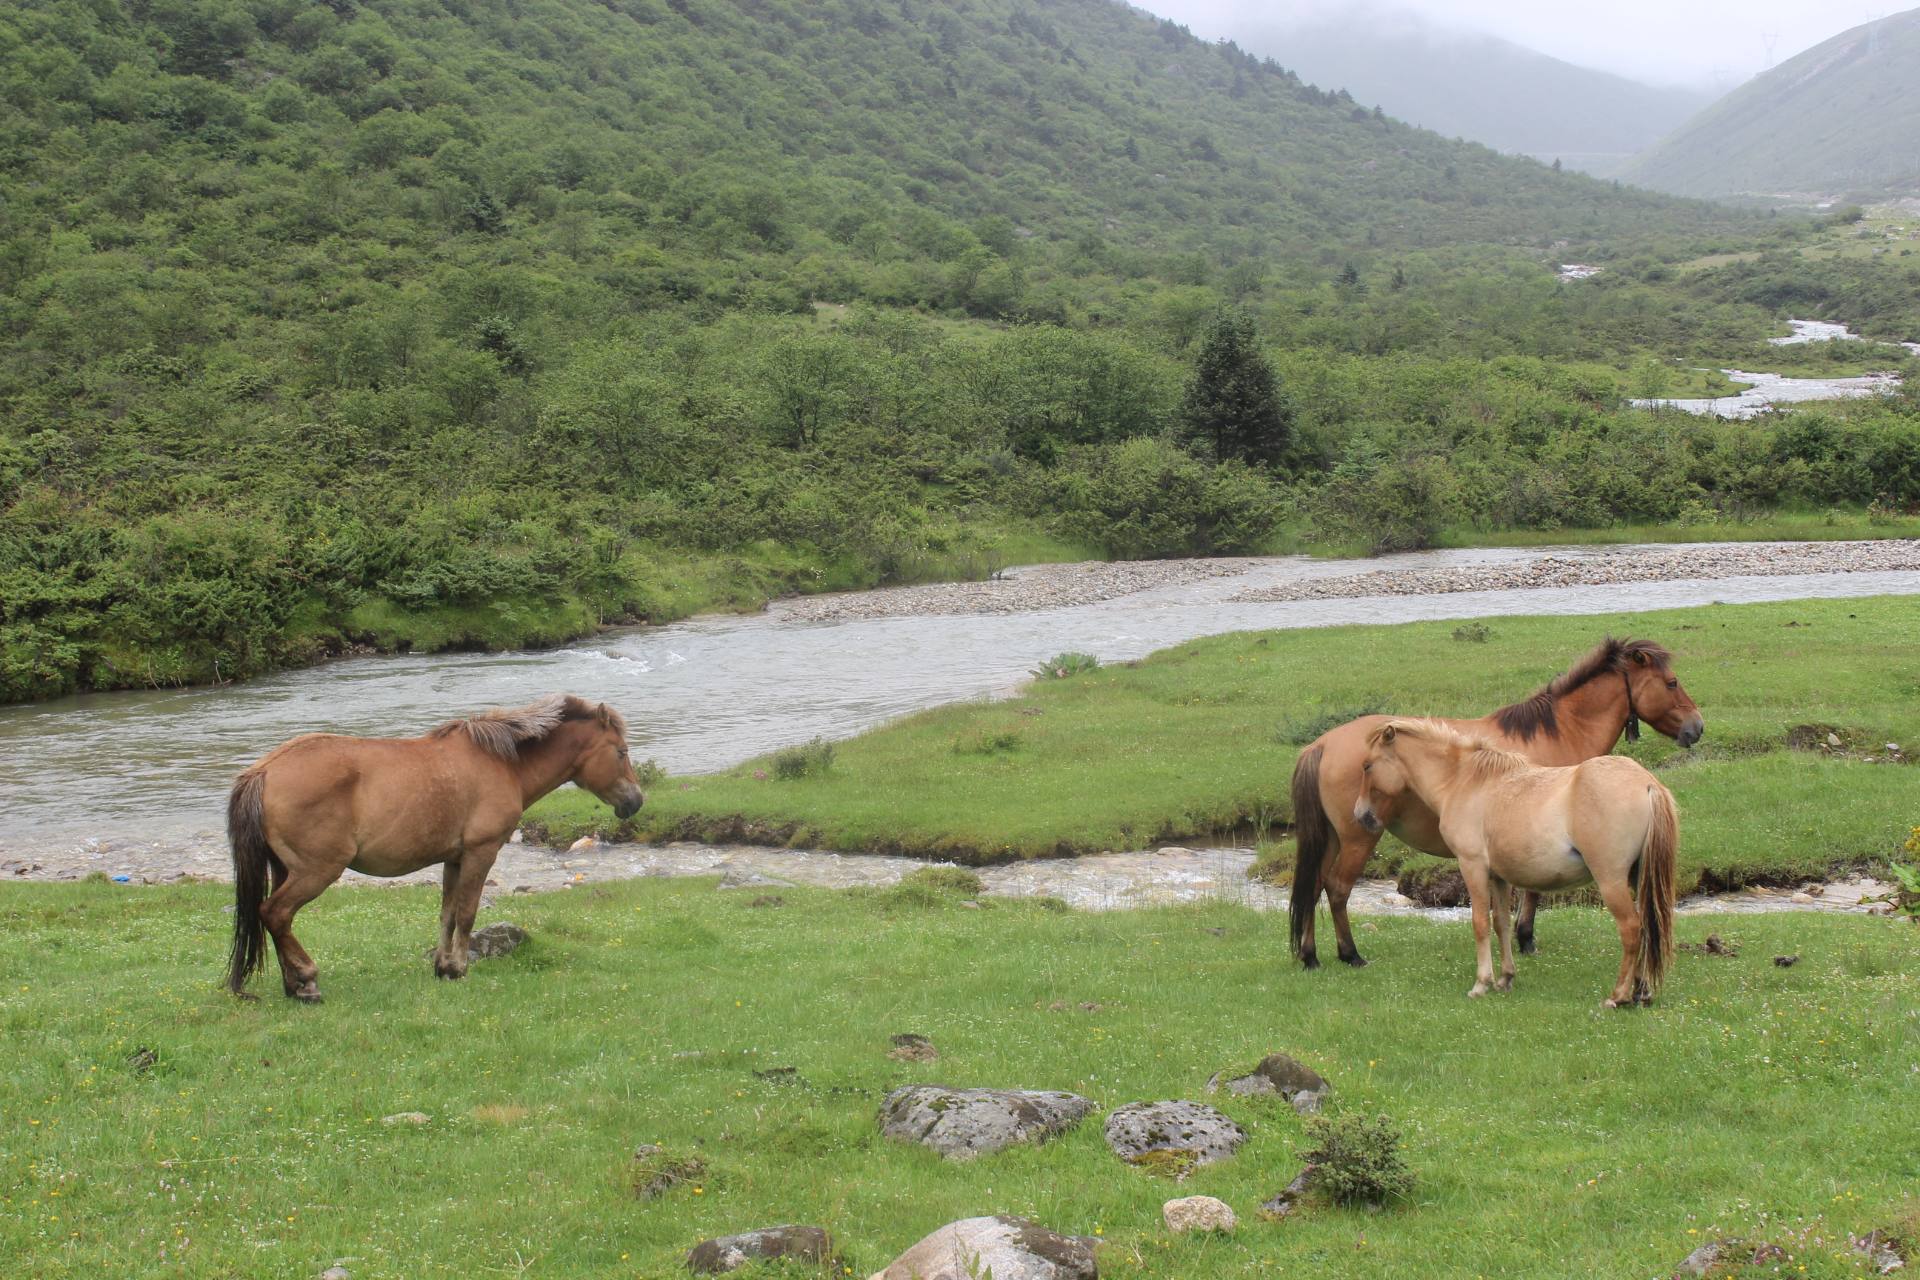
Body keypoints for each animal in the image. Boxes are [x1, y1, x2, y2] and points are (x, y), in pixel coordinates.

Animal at [224, 690, 645, 997]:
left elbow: (447, 913)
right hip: (317, 871)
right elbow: (468, 913)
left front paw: (442, 966)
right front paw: (459, 968)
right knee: (276, 914)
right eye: (621, 752)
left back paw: (294, 983)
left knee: (278, 920)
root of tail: (263, 771)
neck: (502, 764)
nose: (636, 801)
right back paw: (307, 980)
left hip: (285, 869)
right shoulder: (480, 852)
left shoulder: (453, 859)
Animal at [1282, 640, 1704, 971]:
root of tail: (1323, 744)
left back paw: (1311, 956)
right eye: (1672, 683)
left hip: (1334, 838)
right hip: (1358, 838)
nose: (1696, 727)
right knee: (1337, 889)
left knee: (1314, 886)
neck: (1560, 733)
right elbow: (1533, 892)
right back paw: (1350, 954)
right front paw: (1526, 937)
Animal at [1351, 725, 1681, 1005]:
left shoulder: (1472, 867)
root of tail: (1647, 783)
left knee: (1631, 929)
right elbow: (1501, 924)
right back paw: (1641, 992)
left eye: (1367, 766)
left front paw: (1481, 983)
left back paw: (1618, 996)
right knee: (1646, 928)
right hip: (1637, 878)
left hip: (1610, 880)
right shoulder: (1498, 877)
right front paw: (1505, 979)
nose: (1361, 816)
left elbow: (1480, 923)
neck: (1465, 782)